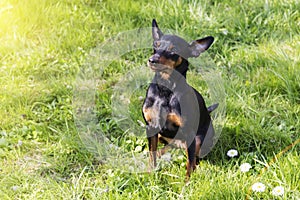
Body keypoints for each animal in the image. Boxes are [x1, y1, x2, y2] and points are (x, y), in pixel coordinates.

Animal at [143, 19, 218, 180]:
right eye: (155, 45)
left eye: (174, 50)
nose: (152, 60)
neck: (165, 91)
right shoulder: (151, 127)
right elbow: (152, 156)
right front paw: (150, 174)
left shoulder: (189, 133)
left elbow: (189, 164)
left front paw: (187, 183)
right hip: (161, 135)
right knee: (165, 148)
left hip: (198, 140)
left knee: (194, 159)